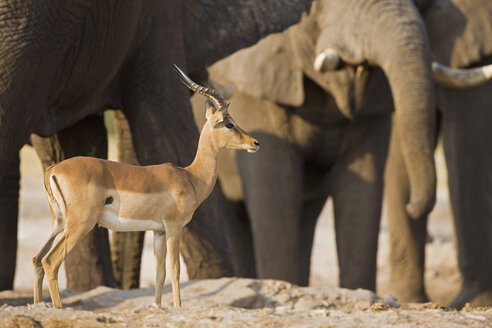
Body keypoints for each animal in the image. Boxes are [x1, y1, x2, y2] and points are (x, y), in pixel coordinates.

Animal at [0, 0, 312, 292]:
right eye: (228, 123)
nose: (255, 143)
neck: (190, 175)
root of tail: (52, 170)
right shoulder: (173, 227)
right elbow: (174, 272)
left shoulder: (158, 231)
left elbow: (162, 274)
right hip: (78, 223)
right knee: (50, 261)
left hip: (59, 222)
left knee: (37, 259)